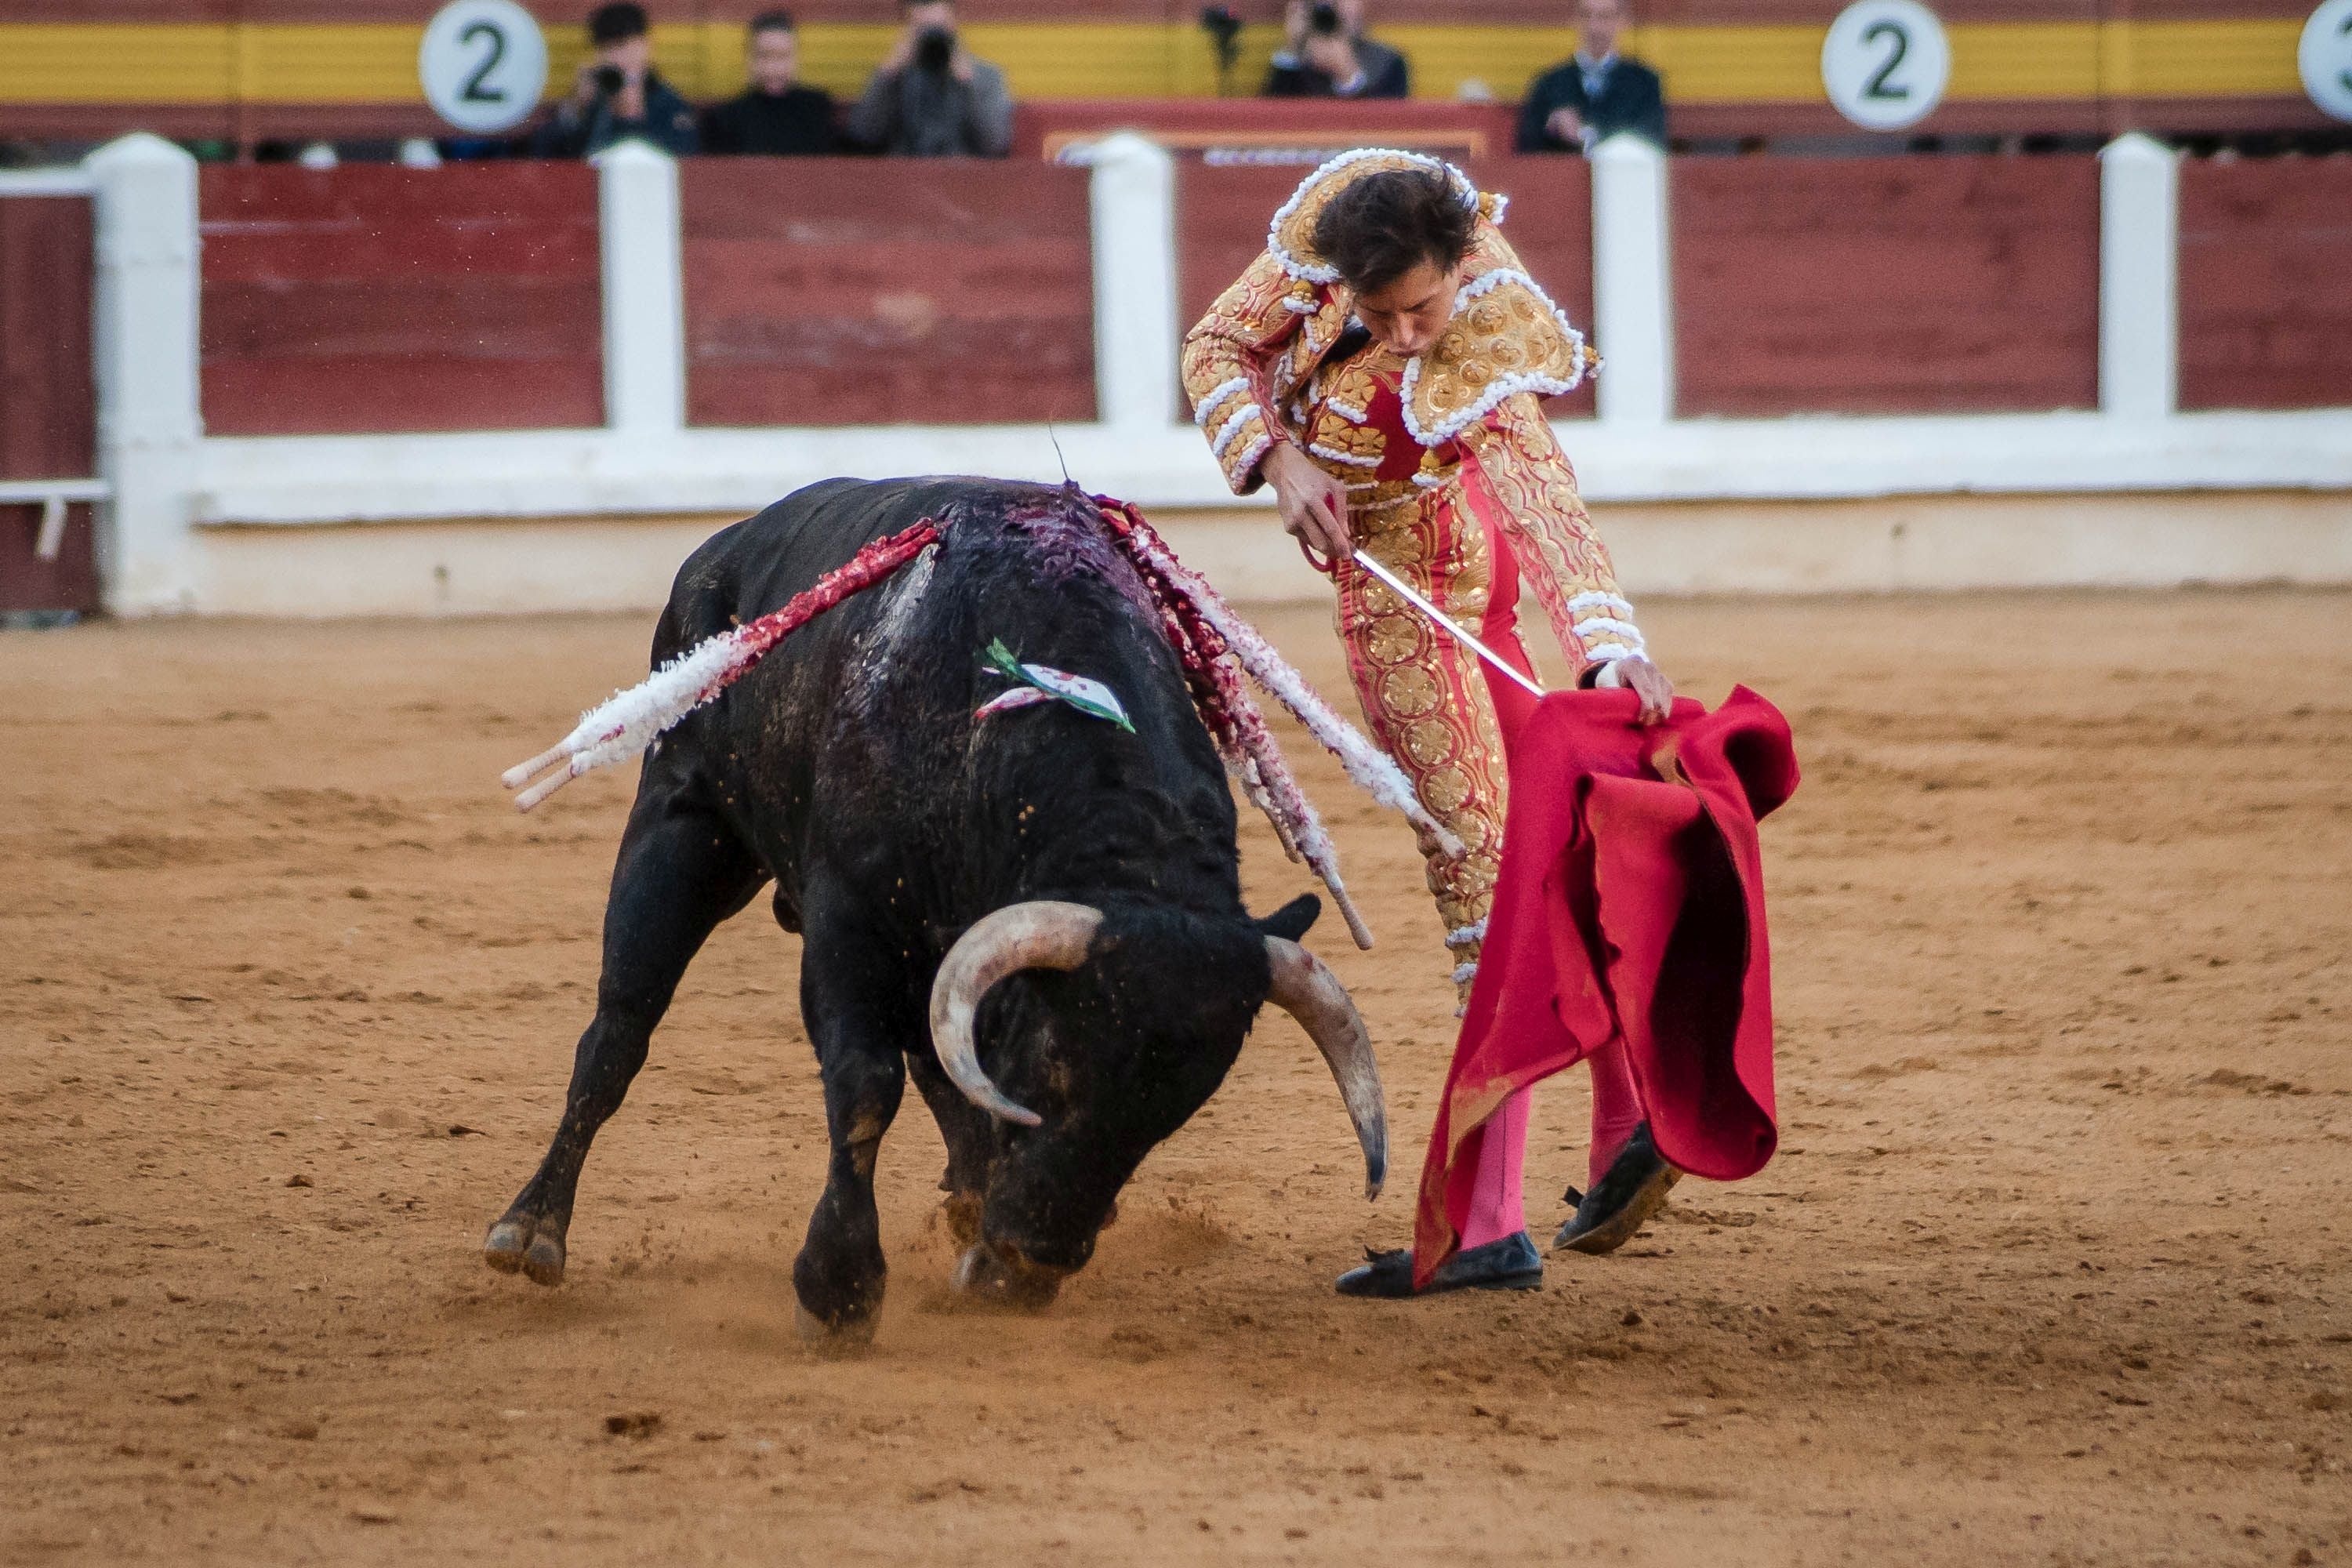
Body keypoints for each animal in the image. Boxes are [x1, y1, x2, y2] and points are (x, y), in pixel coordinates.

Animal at [485, 479, 1383, 1354]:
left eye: (1177, 1109)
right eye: (1051, 1060)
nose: (1036, 1260)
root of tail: (730, 545)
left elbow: (945, 1068)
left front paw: (967, 1238)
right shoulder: (848, 925)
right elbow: (865, 1085)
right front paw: (838, 1291)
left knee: (930, 1052)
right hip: (680, 825)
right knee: (618, 1032)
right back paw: (530, 1231)